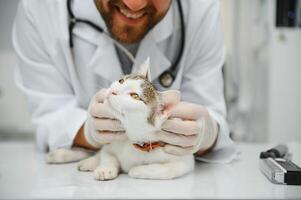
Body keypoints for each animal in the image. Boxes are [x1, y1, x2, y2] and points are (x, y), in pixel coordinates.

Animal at [46, 58, 192, 180]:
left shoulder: (183, 160)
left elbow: (168, 170)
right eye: (121, 81)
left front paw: (137, 170)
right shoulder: (112, 143)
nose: (113, 91)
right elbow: (107, 155)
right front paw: (106, 168)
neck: (134, 139)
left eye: (135, 96)